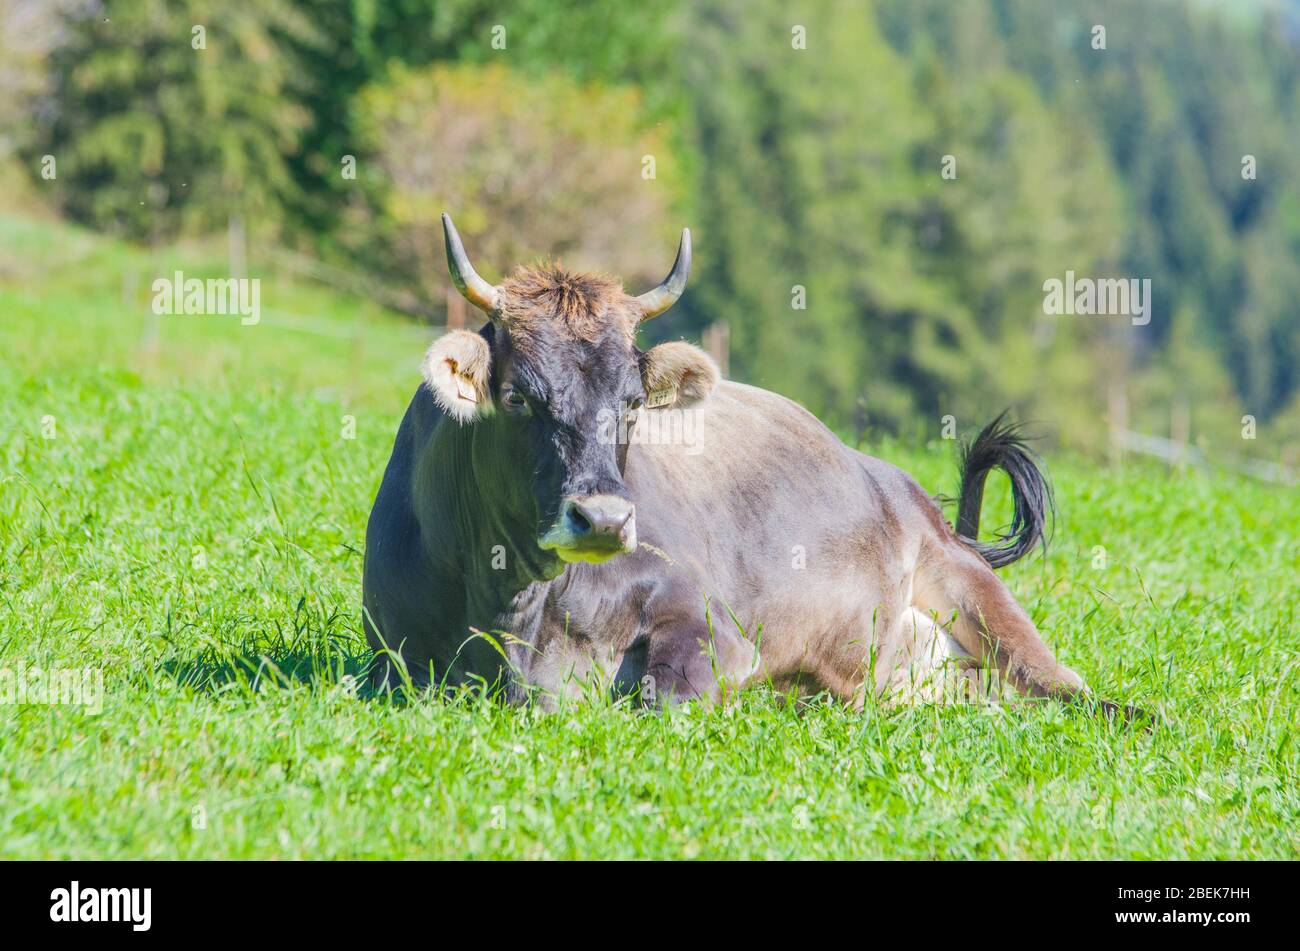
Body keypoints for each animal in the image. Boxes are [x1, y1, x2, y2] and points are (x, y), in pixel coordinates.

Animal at [362, 213, 1134, 716]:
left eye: (633, 401)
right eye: (519, 395)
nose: (604, 518)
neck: (515, 612)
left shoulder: (711, 624)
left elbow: (664, 699)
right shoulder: (389, 663)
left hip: (973, 588)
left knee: (1069, 690)